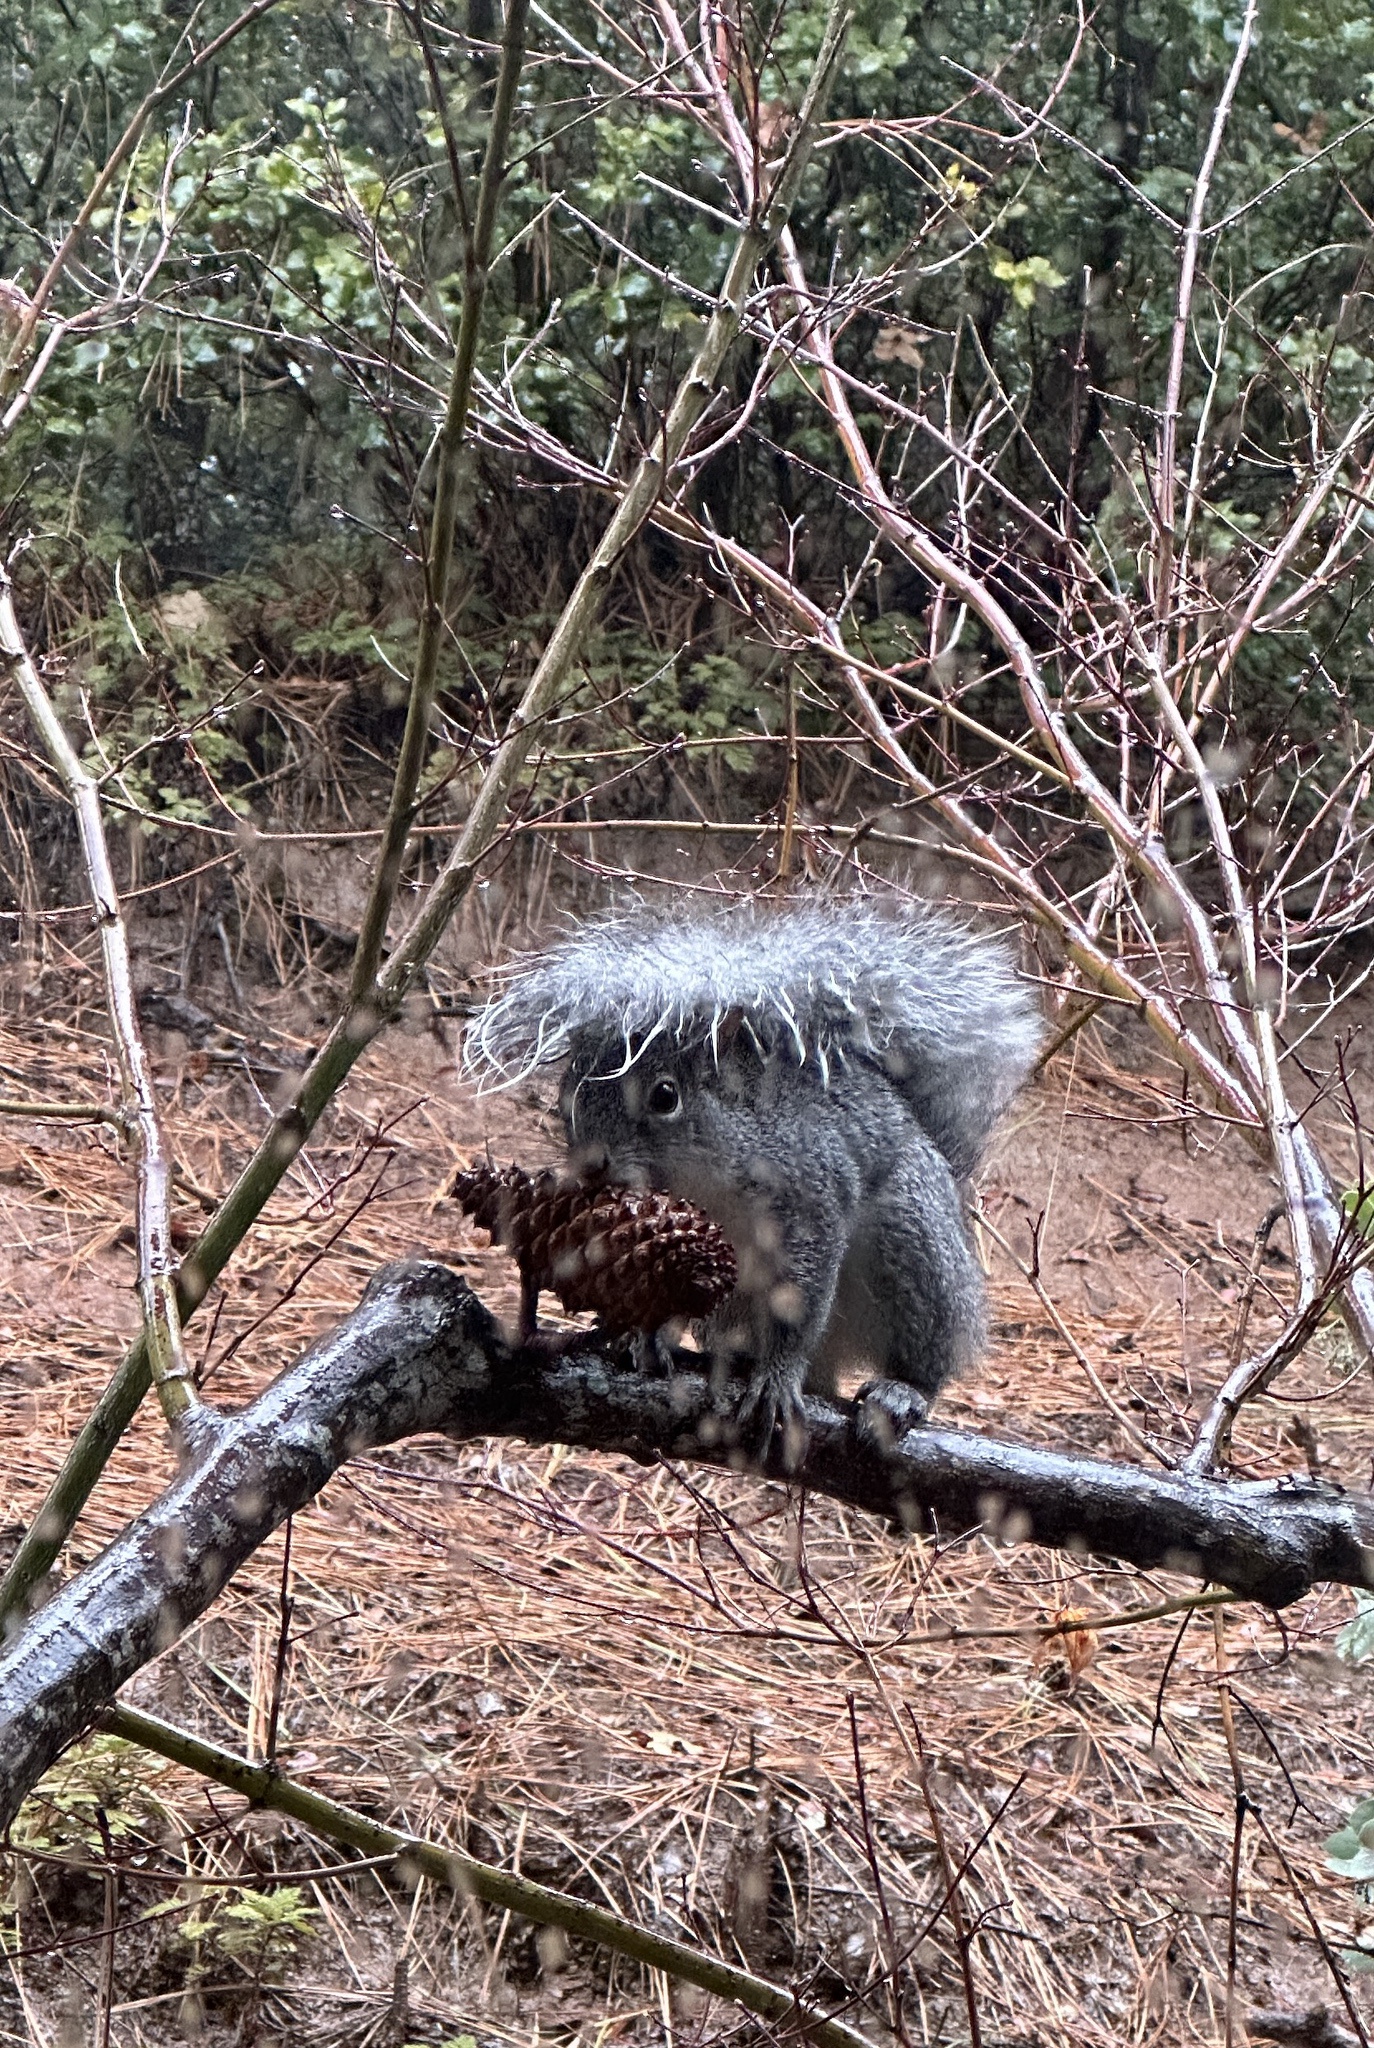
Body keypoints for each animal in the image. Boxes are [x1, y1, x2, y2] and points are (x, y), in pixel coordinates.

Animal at [464, 897, 1044, 1458]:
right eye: (566, 1095)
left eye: (665, 1096)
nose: (591, 1165)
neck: (703, 1184)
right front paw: (645, 1337)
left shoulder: (812, 1197)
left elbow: (799, 1303)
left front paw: (777, 1378)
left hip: (913, 1242)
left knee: (929, 1349)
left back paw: (903, 1390)